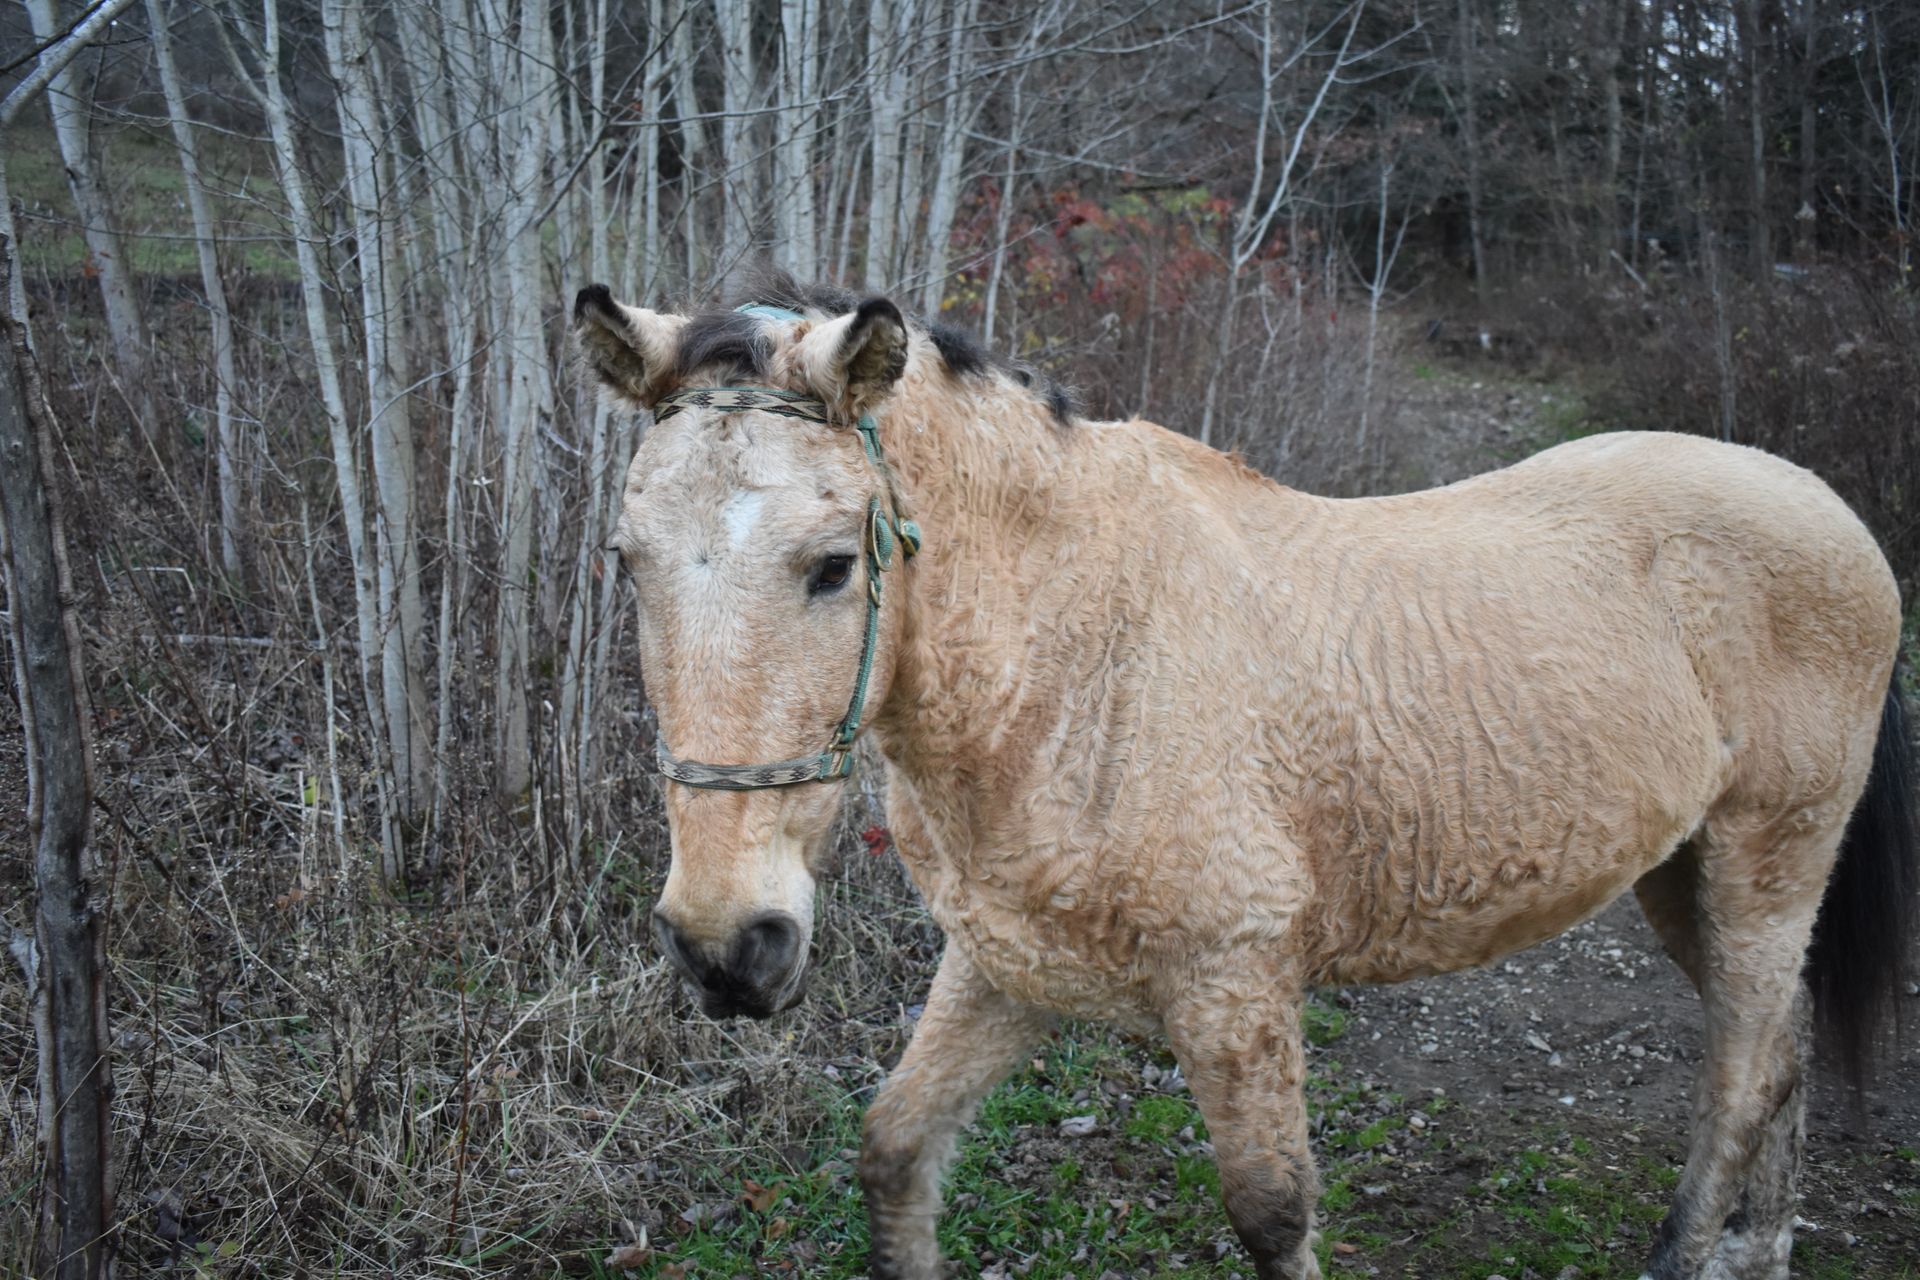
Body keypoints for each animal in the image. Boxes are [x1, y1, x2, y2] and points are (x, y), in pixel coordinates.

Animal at [576, 272, 1912, 1280]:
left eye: (832, 563)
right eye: (627, 560)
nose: (724, 944)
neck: (1079, 664)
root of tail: (1822, 501)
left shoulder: (1235, 988)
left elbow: (1272, 1211)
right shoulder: (1004, 967)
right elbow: (894, 1149)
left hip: (1768, 860)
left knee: (1742, 1070)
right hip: (1686, 876)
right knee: (1780, 1044)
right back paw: (1759, 1251)